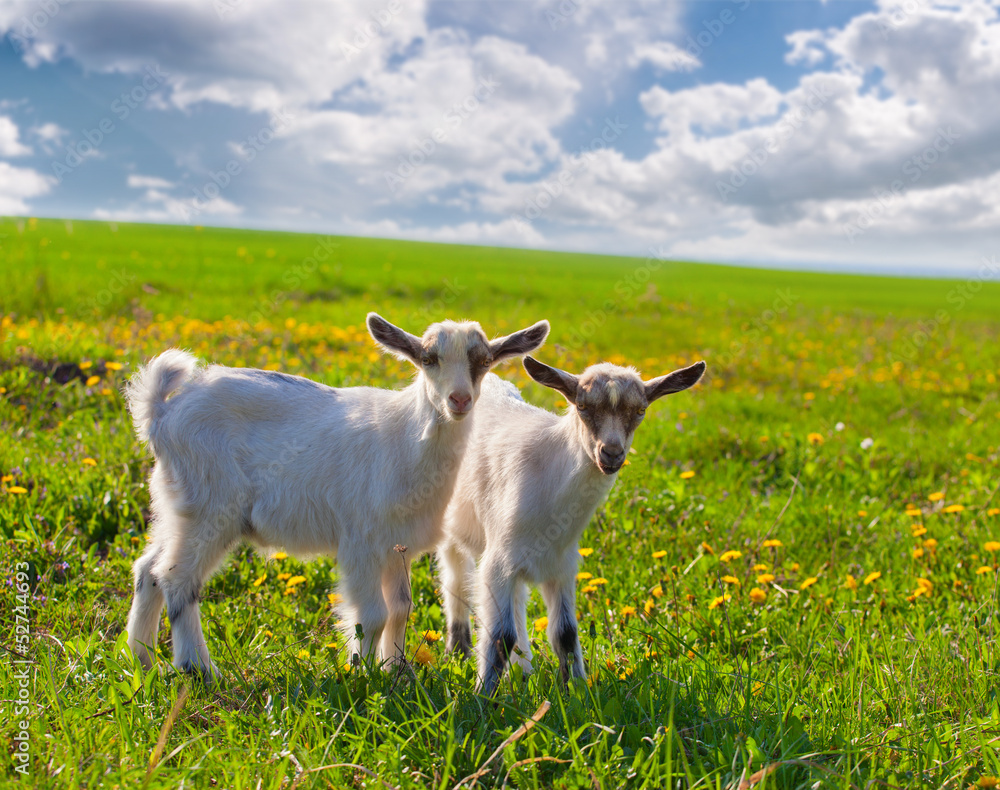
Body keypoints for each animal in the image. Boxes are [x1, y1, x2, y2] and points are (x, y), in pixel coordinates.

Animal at [124, 313, 549, 681]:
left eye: (484, 361)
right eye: (428, 359)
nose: (459, 400)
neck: (405, 438)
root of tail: (162, 415)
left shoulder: (397, 545)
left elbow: (401, 608)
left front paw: (397, 671)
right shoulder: (360, 541)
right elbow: (374, 614)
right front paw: (362, 673)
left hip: (177, 506)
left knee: (149, 569)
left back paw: (142, 660)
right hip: (210, 509)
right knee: (177, 580)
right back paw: (198, 668)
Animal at [438, 356, 705, 695]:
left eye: (640, 410)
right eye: (582, 405)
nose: (611, 453)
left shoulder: (562, 565)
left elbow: (564, 633)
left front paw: (577, 692)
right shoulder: (499, 562)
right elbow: (500, 636)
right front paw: (483, 697)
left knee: (517, 600)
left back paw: (523, 669)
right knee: (455, 577)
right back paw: (458, 650)